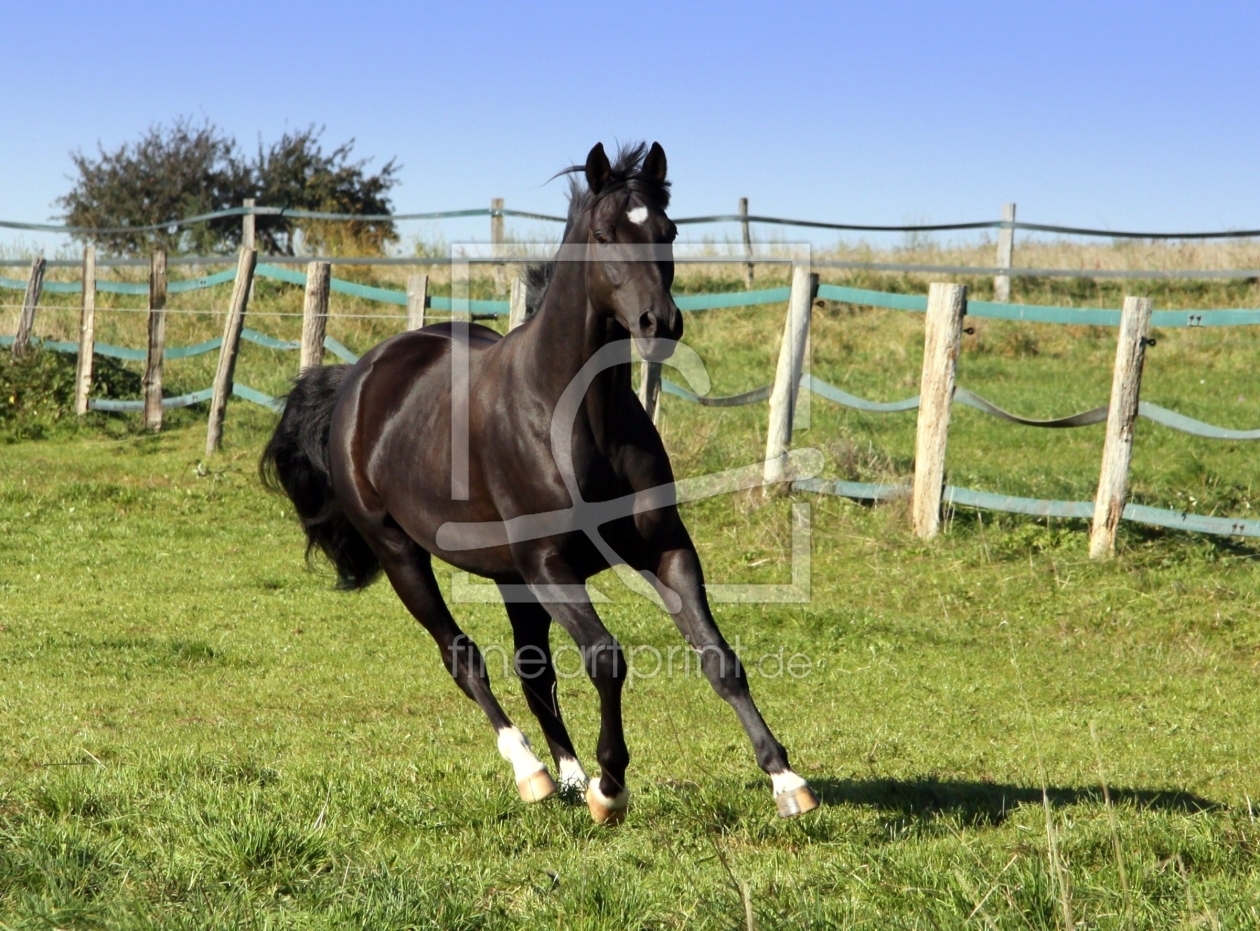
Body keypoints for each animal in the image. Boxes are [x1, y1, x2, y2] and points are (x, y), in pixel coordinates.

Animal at [260, 141, 821, 826]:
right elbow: (605, 658)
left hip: (510, 576)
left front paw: (786, 780)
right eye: (604, 235)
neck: (577, 416)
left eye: (668, 231)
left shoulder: (664, 549)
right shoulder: (552, 564)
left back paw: (570, 777)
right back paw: (535, 775)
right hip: (402, 555)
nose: (659, 323)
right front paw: (612, 789)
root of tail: (359, 379)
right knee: (463, 657)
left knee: (533, 671)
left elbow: (720, 658)